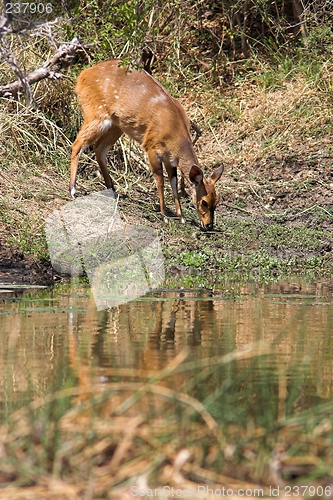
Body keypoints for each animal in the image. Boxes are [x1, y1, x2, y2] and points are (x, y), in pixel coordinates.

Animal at [69, 59, 223, 229]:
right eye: (204, 202)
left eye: (216, 202)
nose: (209, 225)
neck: (175, 130)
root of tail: (83, 75)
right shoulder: (152, 147)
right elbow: (160, 181)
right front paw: (164, 216)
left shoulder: (170, 159)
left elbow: (174, 182)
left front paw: (181, 217)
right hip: (97, 113)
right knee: (77, 144)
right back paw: (73, 190)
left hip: (117, 125)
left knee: (99, 148)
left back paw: (112, 189)